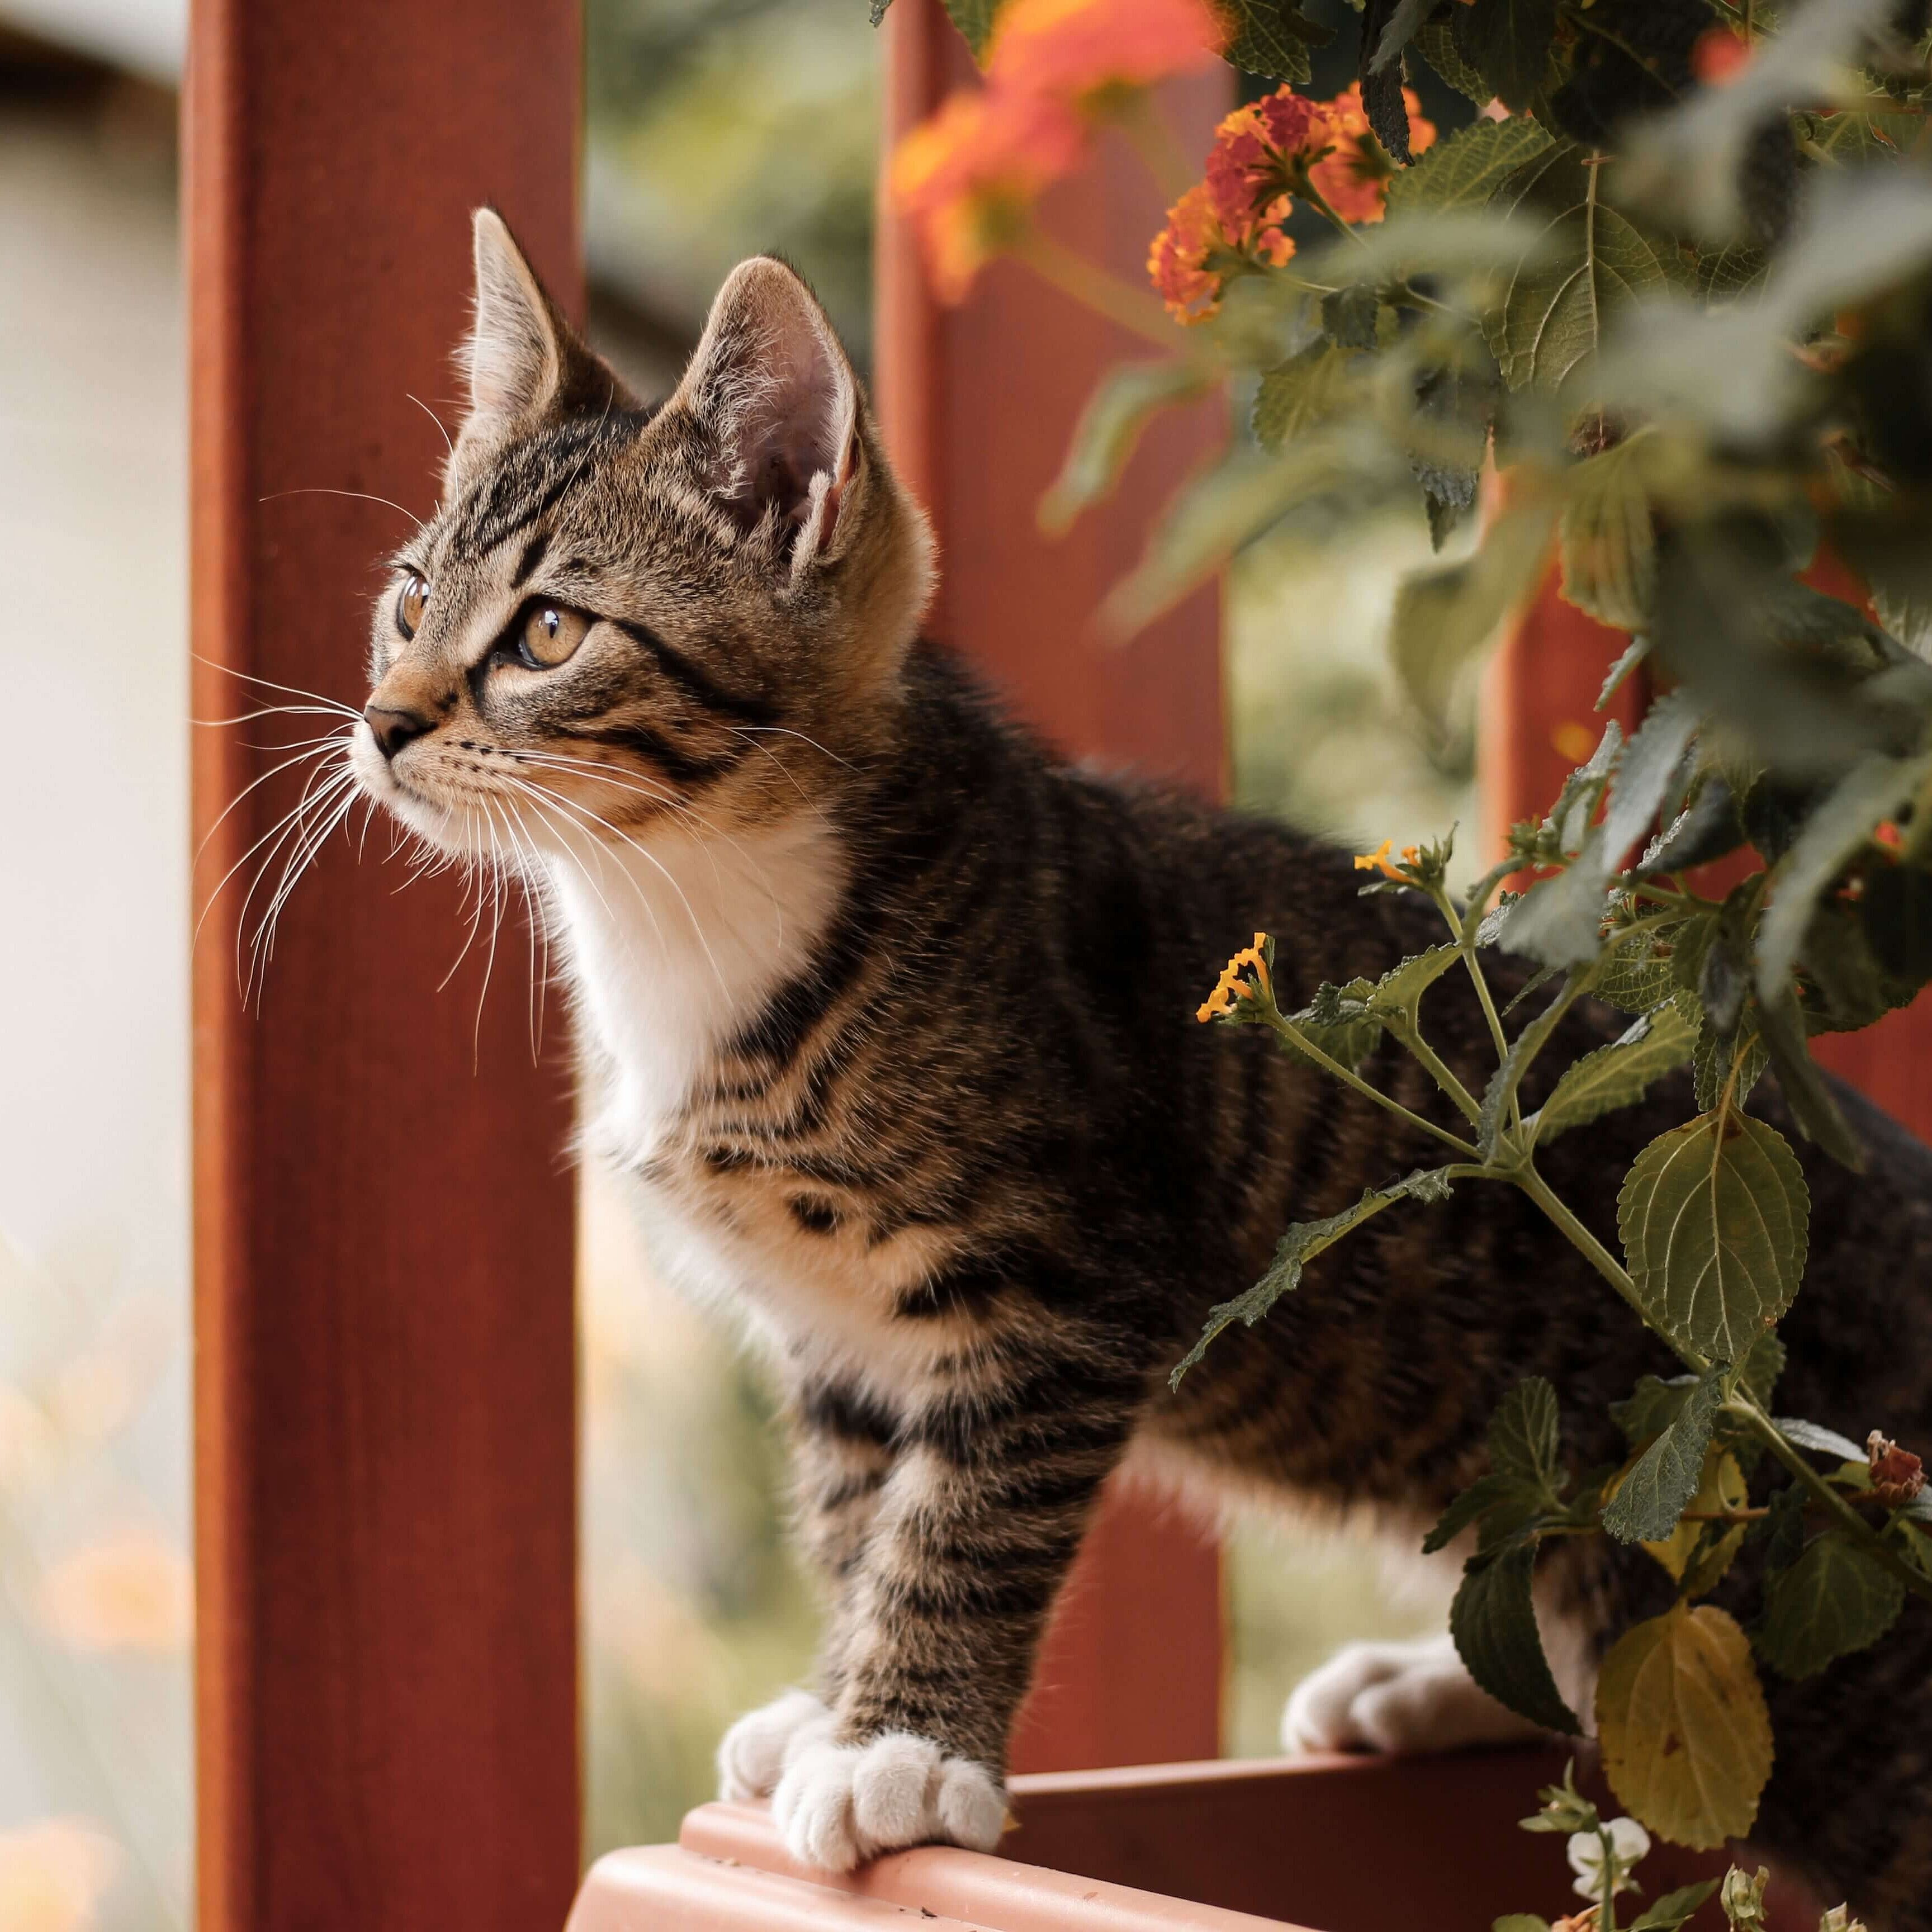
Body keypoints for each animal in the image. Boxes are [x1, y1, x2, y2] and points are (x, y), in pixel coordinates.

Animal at [351, 215, 1932, 1916]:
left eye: (548, 632)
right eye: (410, 597)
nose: (378, 722)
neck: (688, 908)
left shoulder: (1069, 1279)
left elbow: (963, 1516)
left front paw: (903, 1749)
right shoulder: (837, 1335)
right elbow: (858, 1513)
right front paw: (836, 1700)